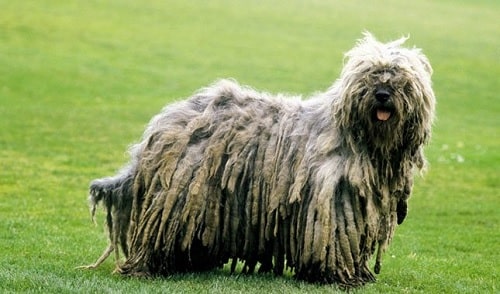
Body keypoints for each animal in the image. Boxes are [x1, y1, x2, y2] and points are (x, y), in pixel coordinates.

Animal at [81, 32, 434, 288]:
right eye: (371, 75)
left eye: (401, 79)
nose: (382, 93)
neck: (363, 139)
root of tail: (165, 122)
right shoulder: (332, 201)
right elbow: (333, 239)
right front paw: (338, 276)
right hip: (179, 196)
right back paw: (148, 266)